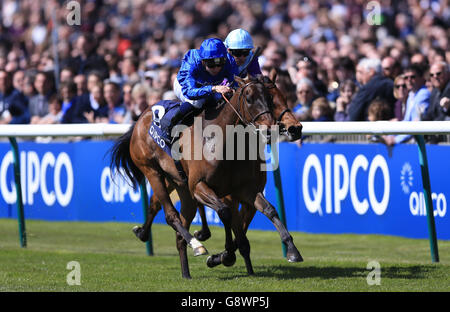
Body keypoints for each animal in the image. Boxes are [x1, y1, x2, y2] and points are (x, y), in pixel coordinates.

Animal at [131, 70, 306, 268]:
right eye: (249, 99)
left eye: (275, 99)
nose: (295, 128)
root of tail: (142, 116)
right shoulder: (203, 187)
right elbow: (225, 213)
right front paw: (224, 255)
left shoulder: (245, 190)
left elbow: (268, 210)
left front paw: (292, 250)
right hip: (151, 170)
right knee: (169, 213)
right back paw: (195, 243)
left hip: (177, 180)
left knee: (158, 203)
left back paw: (148, 234)